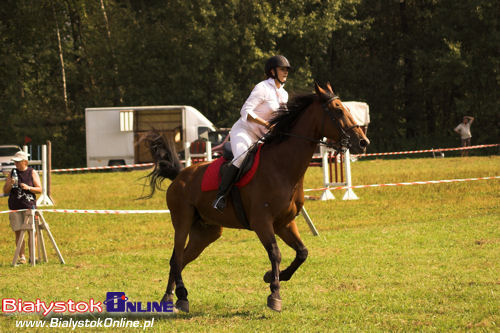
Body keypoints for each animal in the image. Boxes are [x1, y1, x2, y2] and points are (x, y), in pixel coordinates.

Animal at [146, 82, 370, 312]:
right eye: (338, 110)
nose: (363, 142)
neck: (282, 167)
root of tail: (179, 176)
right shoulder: (262, 222)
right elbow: (276, 253)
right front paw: (275, 294)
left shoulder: (284, 223)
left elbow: (302, 252)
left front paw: (272, 277)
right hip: (182, 221)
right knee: (176, 257)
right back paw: (176, 296)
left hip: (206, 232)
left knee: (181, 259)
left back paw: (173, 297)